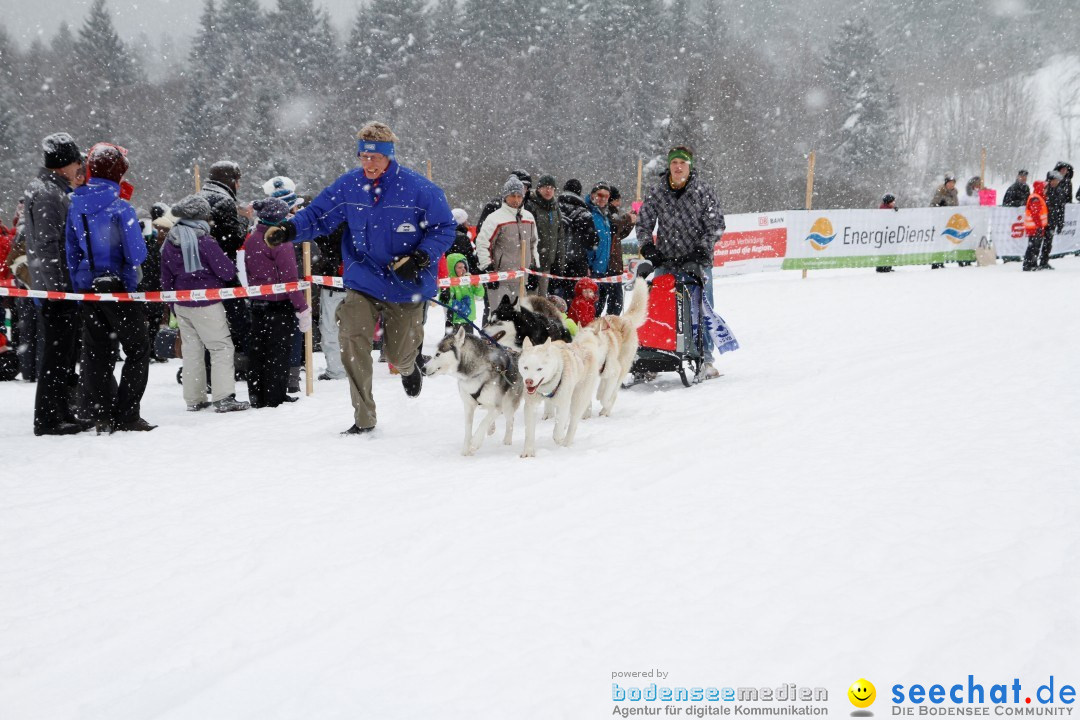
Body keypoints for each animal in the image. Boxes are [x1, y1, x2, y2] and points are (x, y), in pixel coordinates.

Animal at [421, 325, 522, 455]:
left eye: (438, 354)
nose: (423, 369)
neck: (474, 374)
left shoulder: (497, 405)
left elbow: (484, 422)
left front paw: (475, 442)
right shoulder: (468, 406)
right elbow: (468, 428)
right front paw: (466, 449)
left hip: (508, 403)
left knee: (510, 420)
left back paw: (507, 440)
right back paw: (491, 428)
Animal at [574, 280, 648, 416]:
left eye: (591, 345)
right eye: (578, 344)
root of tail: (624, 318)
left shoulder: (615, 372)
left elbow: (605, 397)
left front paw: (605, 406)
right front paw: (586, 413)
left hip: (622, 366)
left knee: (613, 392)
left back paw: (605, 409)